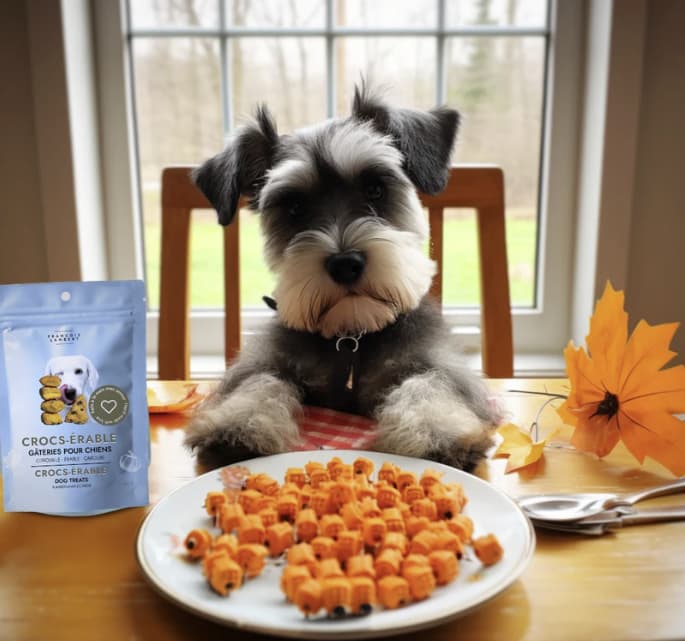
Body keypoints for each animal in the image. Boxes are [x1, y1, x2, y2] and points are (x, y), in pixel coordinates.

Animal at [184, 84, 500, 470]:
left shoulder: (440, 363)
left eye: (375, 188)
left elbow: (431, 383)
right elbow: (258, 381)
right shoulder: (262, 361)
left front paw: (436, 431)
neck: (352, 337)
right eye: (294, 207)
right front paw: (238, 424)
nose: (344, 263)